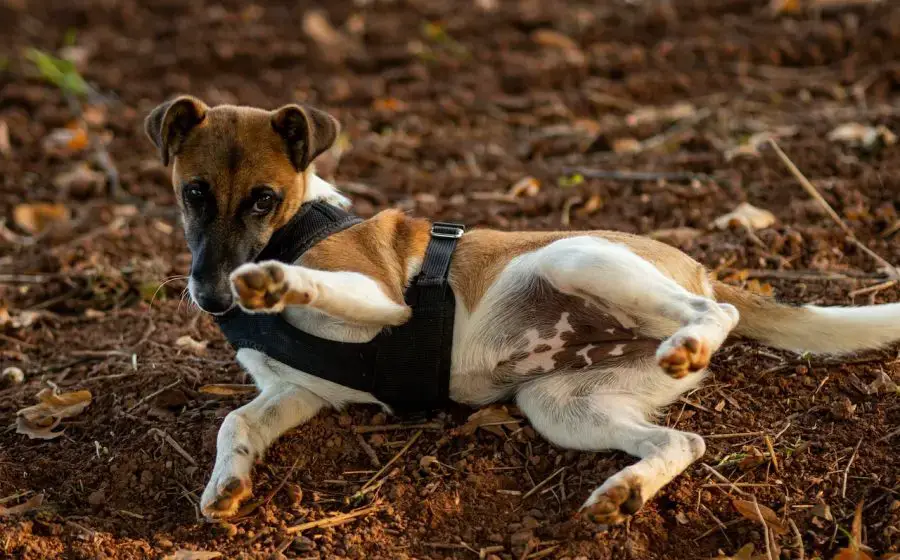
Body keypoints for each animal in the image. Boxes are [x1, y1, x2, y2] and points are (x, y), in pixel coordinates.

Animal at [144, 95, 900, 520]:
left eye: (264, 200)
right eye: (193, 193)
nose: (212, 295)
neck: (301, 223)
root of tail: (705, 272)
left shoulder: (381, 302)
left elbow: (313, 284)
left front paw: (271, 279)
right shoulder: (298, 390)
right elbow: (236, 423)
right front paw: (227, 485)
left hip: (574, 259)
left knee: (717, 317)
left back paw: (693, 339)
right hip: (562, 406)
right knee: (682, 441)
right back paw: (625, 492)